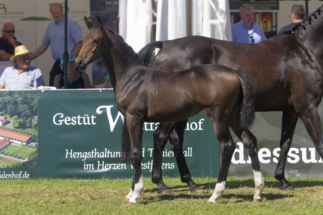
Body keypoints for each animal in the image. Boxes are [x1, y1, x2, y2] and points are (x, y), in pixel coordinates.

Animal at [76, 16, 264, 203]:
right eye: (83, 39)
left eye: (96, 40)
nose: (78, 63)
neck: (132, 77)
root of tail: (235, 72)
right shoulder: (132, 120)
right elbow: (135, 154)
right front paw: (131, 191)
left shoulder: (134, 119)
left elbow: (136, 154)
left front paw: (135, 194)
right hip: (233, 117)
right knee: (249, 140)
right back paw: (257, 192)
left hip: (218, 117)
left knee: (227, 146)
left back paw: (215, 194)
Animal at [140, 6, 323, 191]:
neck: (304, 50)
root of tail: (166, 44)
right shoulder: (307, 107)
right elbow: (319, 143)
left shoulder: (292, 110)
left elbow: (285, 144)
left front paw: (283, 180)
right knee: (160, 136)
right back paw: (161, 184)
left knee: (176, 138)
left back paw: (190, 181)